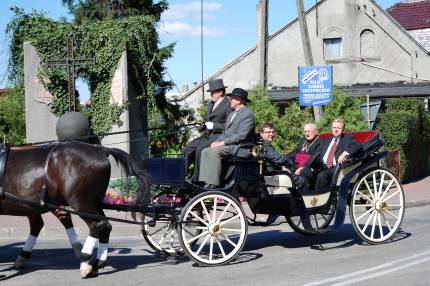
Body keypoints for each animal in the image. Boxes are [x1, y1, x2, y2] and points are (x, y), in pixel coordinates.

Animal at [0, 142, 149, 278]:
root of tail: (100, 150)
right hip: (93, 203)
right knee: (106, 226)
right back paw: (97, 262)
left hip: (80, 202)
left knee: (98, 224)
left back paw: (85, 259)